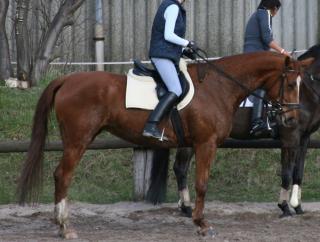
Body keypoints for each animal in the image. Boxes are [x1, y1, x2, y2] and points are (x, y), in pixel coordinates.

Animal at [16, 51, 310, 238]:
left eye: (301, 84)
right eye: (290, 83)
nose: (291, 119)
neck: (219, 86)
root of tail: (67, 79)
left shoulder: (194, 144)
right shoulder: (206, 143)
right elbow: (202, 184)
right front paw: (202, 224)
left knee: (62, 175)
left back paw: (61, 224)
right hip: (78, 139)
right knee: (63, 175)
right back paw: (65, 227)